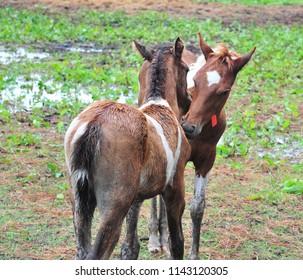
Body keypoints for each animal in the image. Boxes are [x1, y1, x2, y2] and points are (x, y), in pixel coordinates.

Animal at [65, 37, 191, 260]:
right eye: (186, 69)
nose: (190, 100)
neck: (161, 106)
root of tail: (93, 125)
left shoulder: (136, 198)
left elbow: (130, 247)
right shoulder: (175, 188)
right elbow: (177, 242)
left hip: (79, 204)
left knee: (82, 250)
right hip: (114, 206)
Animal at [131, 33, 256, 260]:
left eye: (224, 91)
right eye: (196, 81)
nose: (189, 126)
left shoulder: (207, 160)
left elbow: (197, 207)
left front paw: (193, 255)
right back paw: (155, 239)